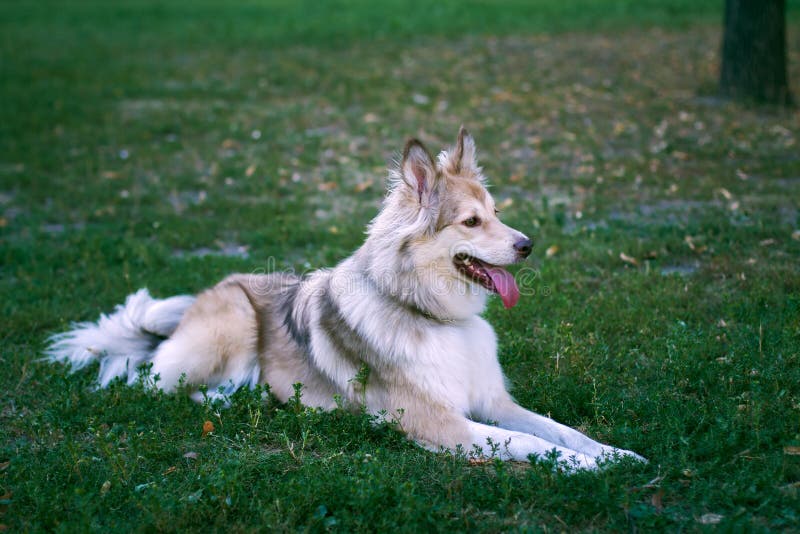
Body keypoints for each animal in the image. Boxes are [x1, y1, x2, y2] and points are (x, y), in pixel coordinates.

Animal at [47, 127, 644, 472]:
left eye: (496, 212)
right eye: (472, 222)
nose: (528, 245)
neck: (432, 316)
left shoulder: (495, 402)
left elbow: (560, 428)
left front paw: (618, 453)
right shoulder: (438, 423)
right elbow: (532, 444)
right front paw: (587, 468)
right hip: (228, 324)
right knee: (157, 386)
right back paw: (230, 398)